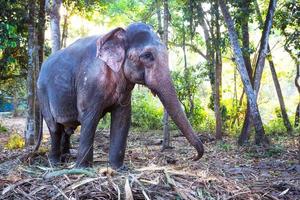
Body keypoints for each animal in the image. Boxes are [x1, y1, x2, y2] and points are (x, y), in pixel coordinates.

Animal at [34, 22, 204, 169]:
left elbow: (122, 118)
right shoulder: (90, 81)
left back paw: (66, 157)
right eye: (148, 55)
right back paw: (55, 163)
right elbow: (89, 118)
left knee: (66, 129)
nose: (193, 157)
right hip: (42, 93)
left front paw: (118, 168)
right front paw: (83, 168)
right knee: (55, 127)